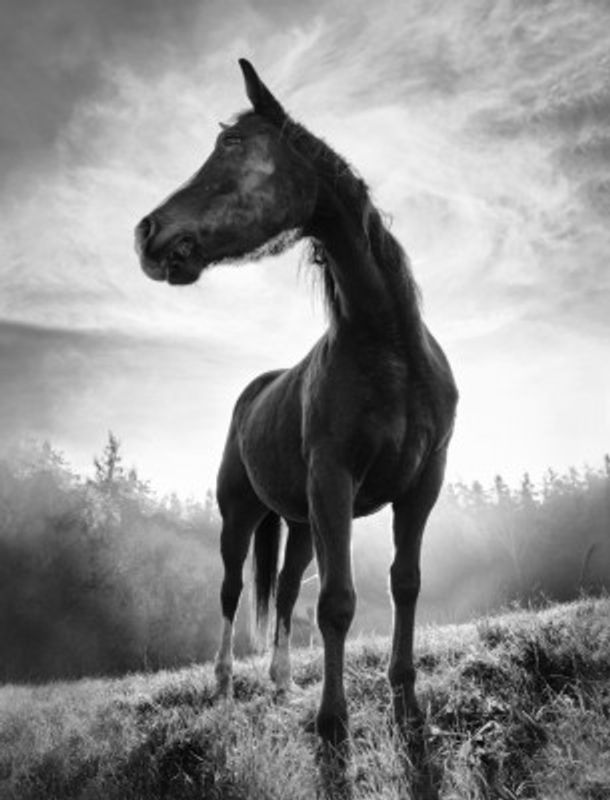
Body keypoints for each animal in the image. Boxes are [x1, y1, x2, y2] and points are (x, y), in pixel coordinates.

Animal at [135, 58, 458, 782]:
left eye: (232, 145)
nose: (146, 233)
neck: (386, 346)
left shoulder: (421, 487)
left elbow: (405, 583)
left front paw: (406, 702)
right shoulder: (334, 483)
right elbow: (336, 603)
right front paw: (334, 728)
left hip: (303, 523)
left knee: (281, 591)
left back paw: (282, 681)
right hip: (240, 517)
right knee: (232, 592)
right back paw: (225, 683)